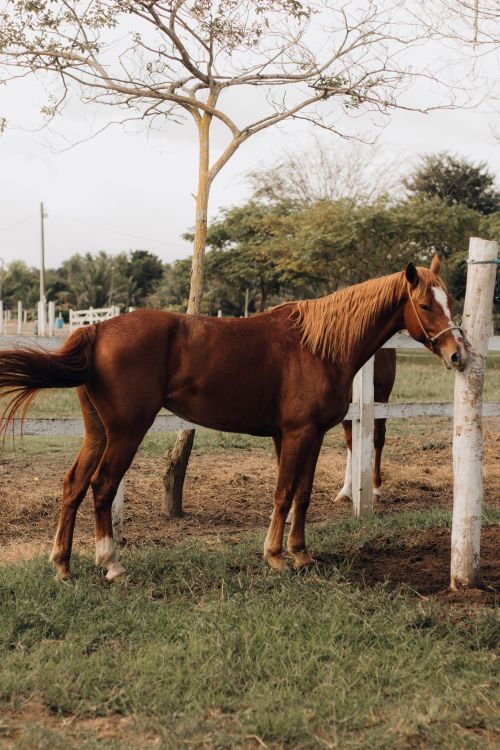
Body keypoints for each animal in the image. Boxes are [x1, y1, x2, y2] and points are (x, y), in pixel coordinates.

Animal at [0, 257, 465, 580]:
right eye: (425, 304)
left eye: (452, 302)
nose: (458, 354)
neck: (317, 345)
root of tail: (97, 329)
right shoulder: (297, 434)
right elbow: (283, 493)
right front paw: (275, 556)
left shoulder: (309, 436)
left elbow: (302, 494)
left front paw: (300, 552)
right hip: (126, 433)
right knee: (102, 486)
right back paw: (111, 564)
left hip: (97, 432)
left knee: (73, 485)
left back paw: (63, 565)